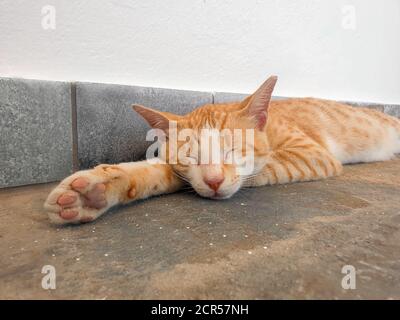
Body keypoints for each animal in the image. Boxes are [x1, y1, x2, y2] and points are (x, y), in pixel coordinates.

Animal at [43, 76, 400, 224]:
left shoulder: (310, 153)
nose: (214, 181)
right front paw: (95, 191)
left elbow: (264, 167)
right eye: (191, 156)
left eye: (232, 150)